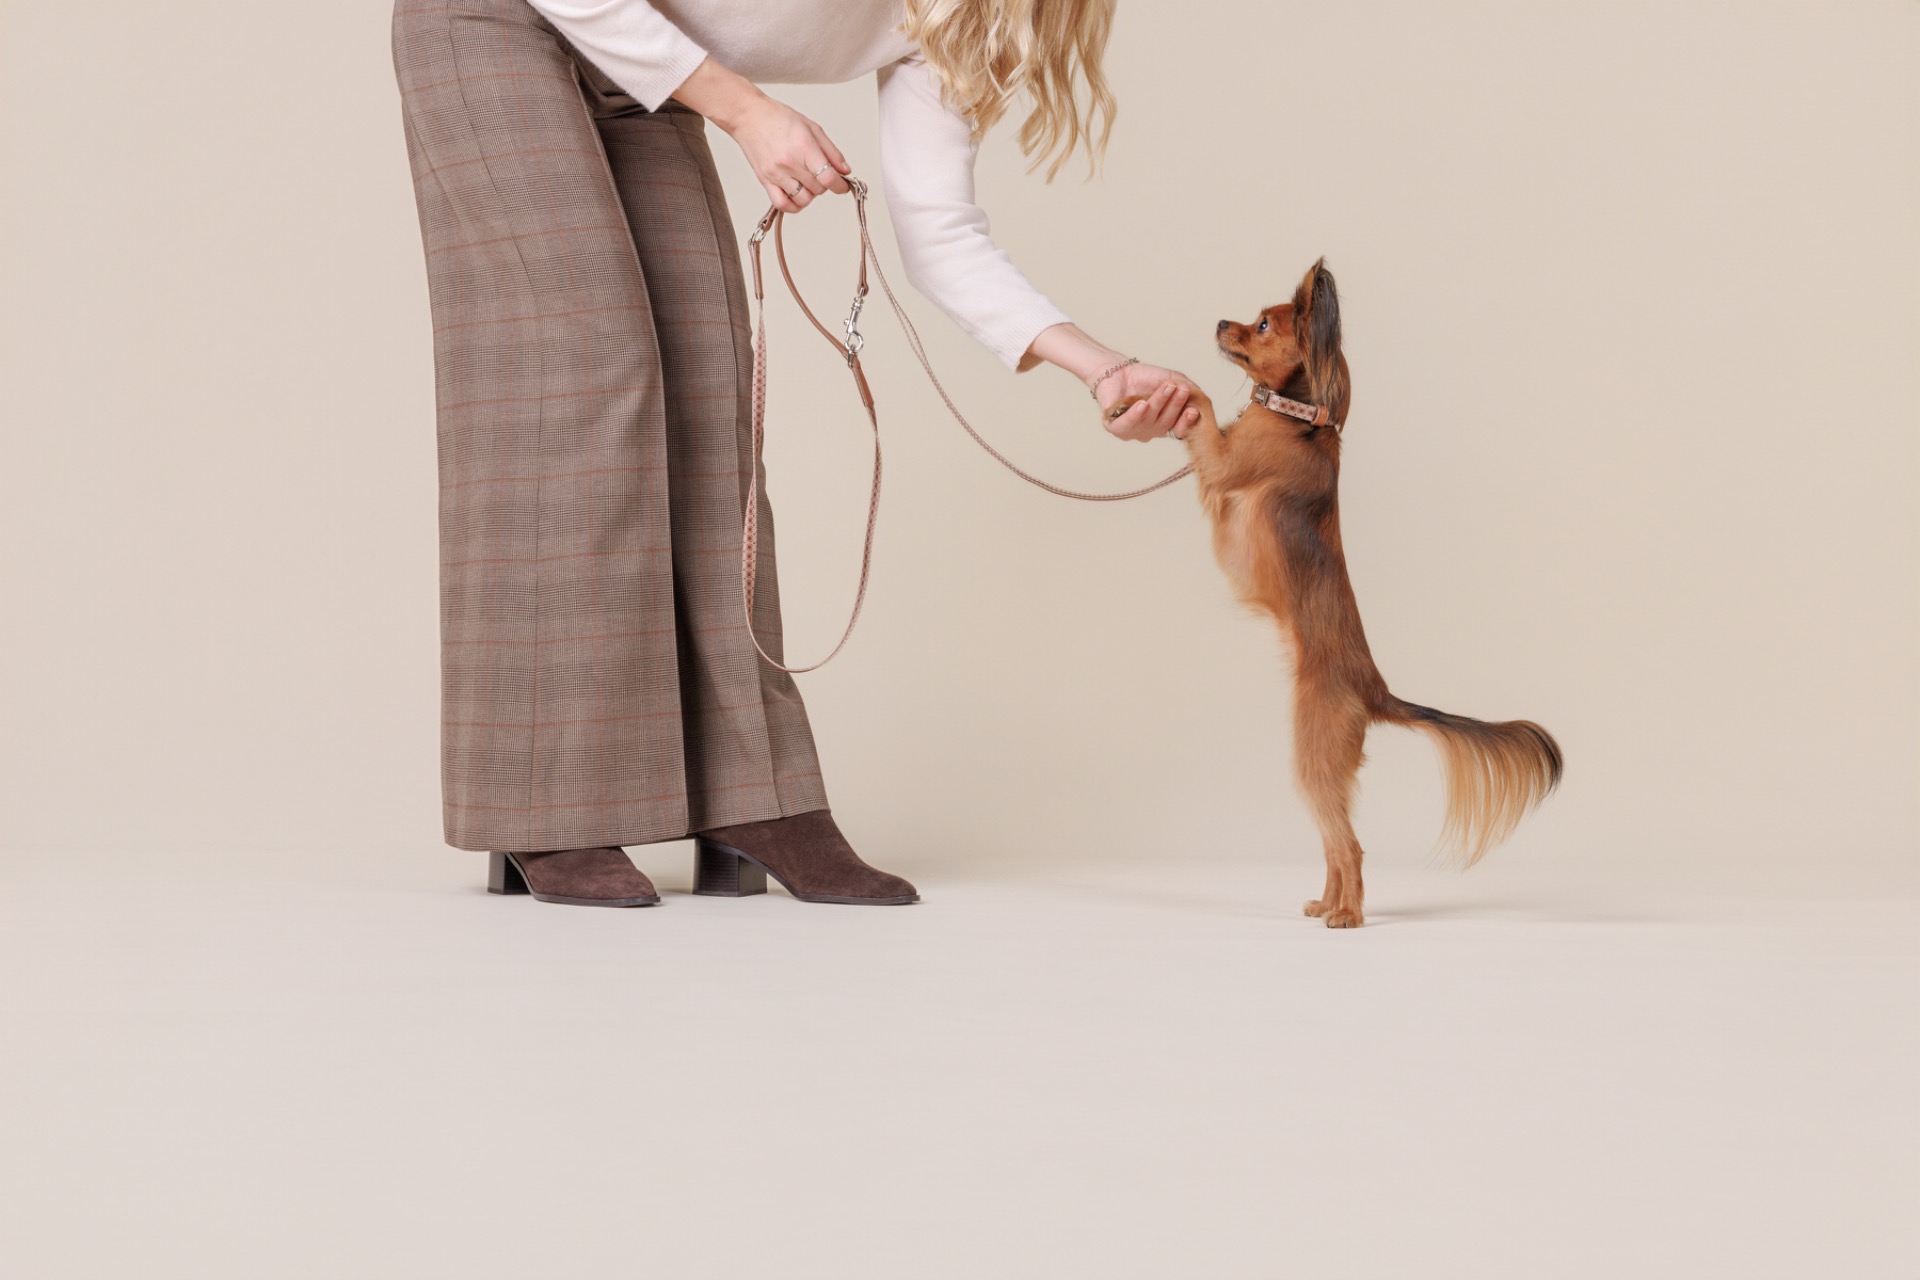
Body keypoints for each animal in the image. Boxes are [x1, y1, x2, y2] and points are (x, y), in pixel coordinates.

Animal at [1162, 259, 1562, 927]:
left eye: (1262, 324)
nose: (1220, 322)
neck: (1296, 417)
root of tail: (1376, 691)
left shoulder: (1220, 463)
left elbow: (1203, 405)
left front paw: (1170, 389)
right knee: (1333, 845)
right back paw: (1327, 903)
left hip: (1312, 753)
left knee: (1348, 844)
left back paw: (1347, 916)